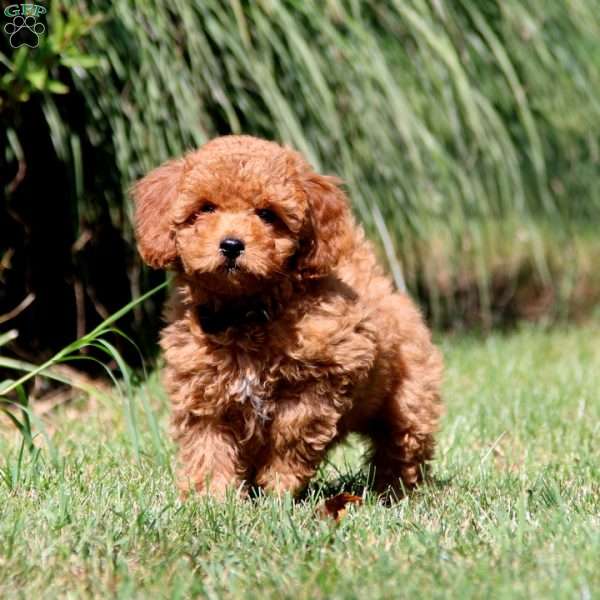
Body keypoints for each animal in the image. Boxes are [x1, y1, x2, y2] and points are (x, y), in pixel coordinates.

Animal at [134, 136, 442, 496]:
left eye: (267, 214)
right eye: (206, 208)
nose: (231, 244)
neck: (245, 312)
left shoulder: (319, 382)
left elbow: (290, 437)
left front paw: (278, 491)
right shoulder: (202, 390)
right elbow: (207, 445)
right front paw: (213, 496)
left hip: (410, 395)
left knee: (401, 442)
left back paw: (393, 489)